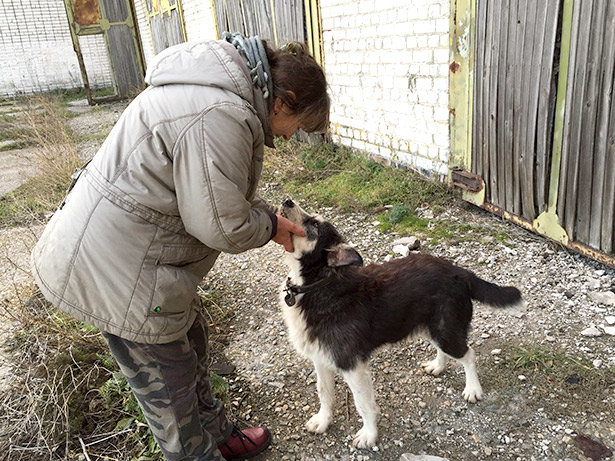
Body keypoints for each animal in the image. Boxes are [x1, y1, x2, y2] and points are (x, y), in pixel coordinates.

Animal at [278, 199, 523, 448]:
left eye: (314, 224)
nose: (287, 201)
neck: (317, 284)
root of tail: (460, 271)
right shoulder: (321, 358)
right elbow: (324, 393)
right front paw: (323, 420)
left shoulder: (352, 365)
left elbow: (363, 404)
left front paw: (369, 435)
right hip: (431, 326)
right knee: (446, 349)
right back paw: (438, 366)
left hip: (445, 330)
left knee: (468, 354)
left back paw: (473, 388)